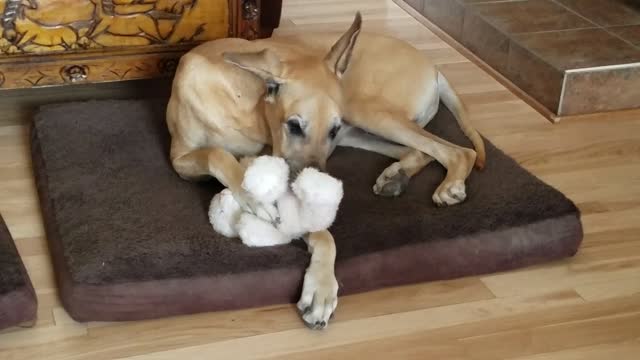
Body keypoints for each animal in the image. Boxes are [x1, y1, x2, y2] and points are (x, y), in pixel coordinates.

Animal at [165, 13, 484, 330]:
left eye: (331, 129)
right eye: (294, 125)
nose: (315, 188)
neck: (246, 101)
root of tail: (434, 67)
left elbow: (322, 235)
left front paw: (321, 288)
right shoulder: (180, 159)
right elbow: (216, 154)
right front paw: (255, 198)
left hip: (362, 113)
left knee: (456, 151)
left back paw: (448, 185)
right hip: (361, 121)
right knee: (422, 152)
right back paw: (398, 177)